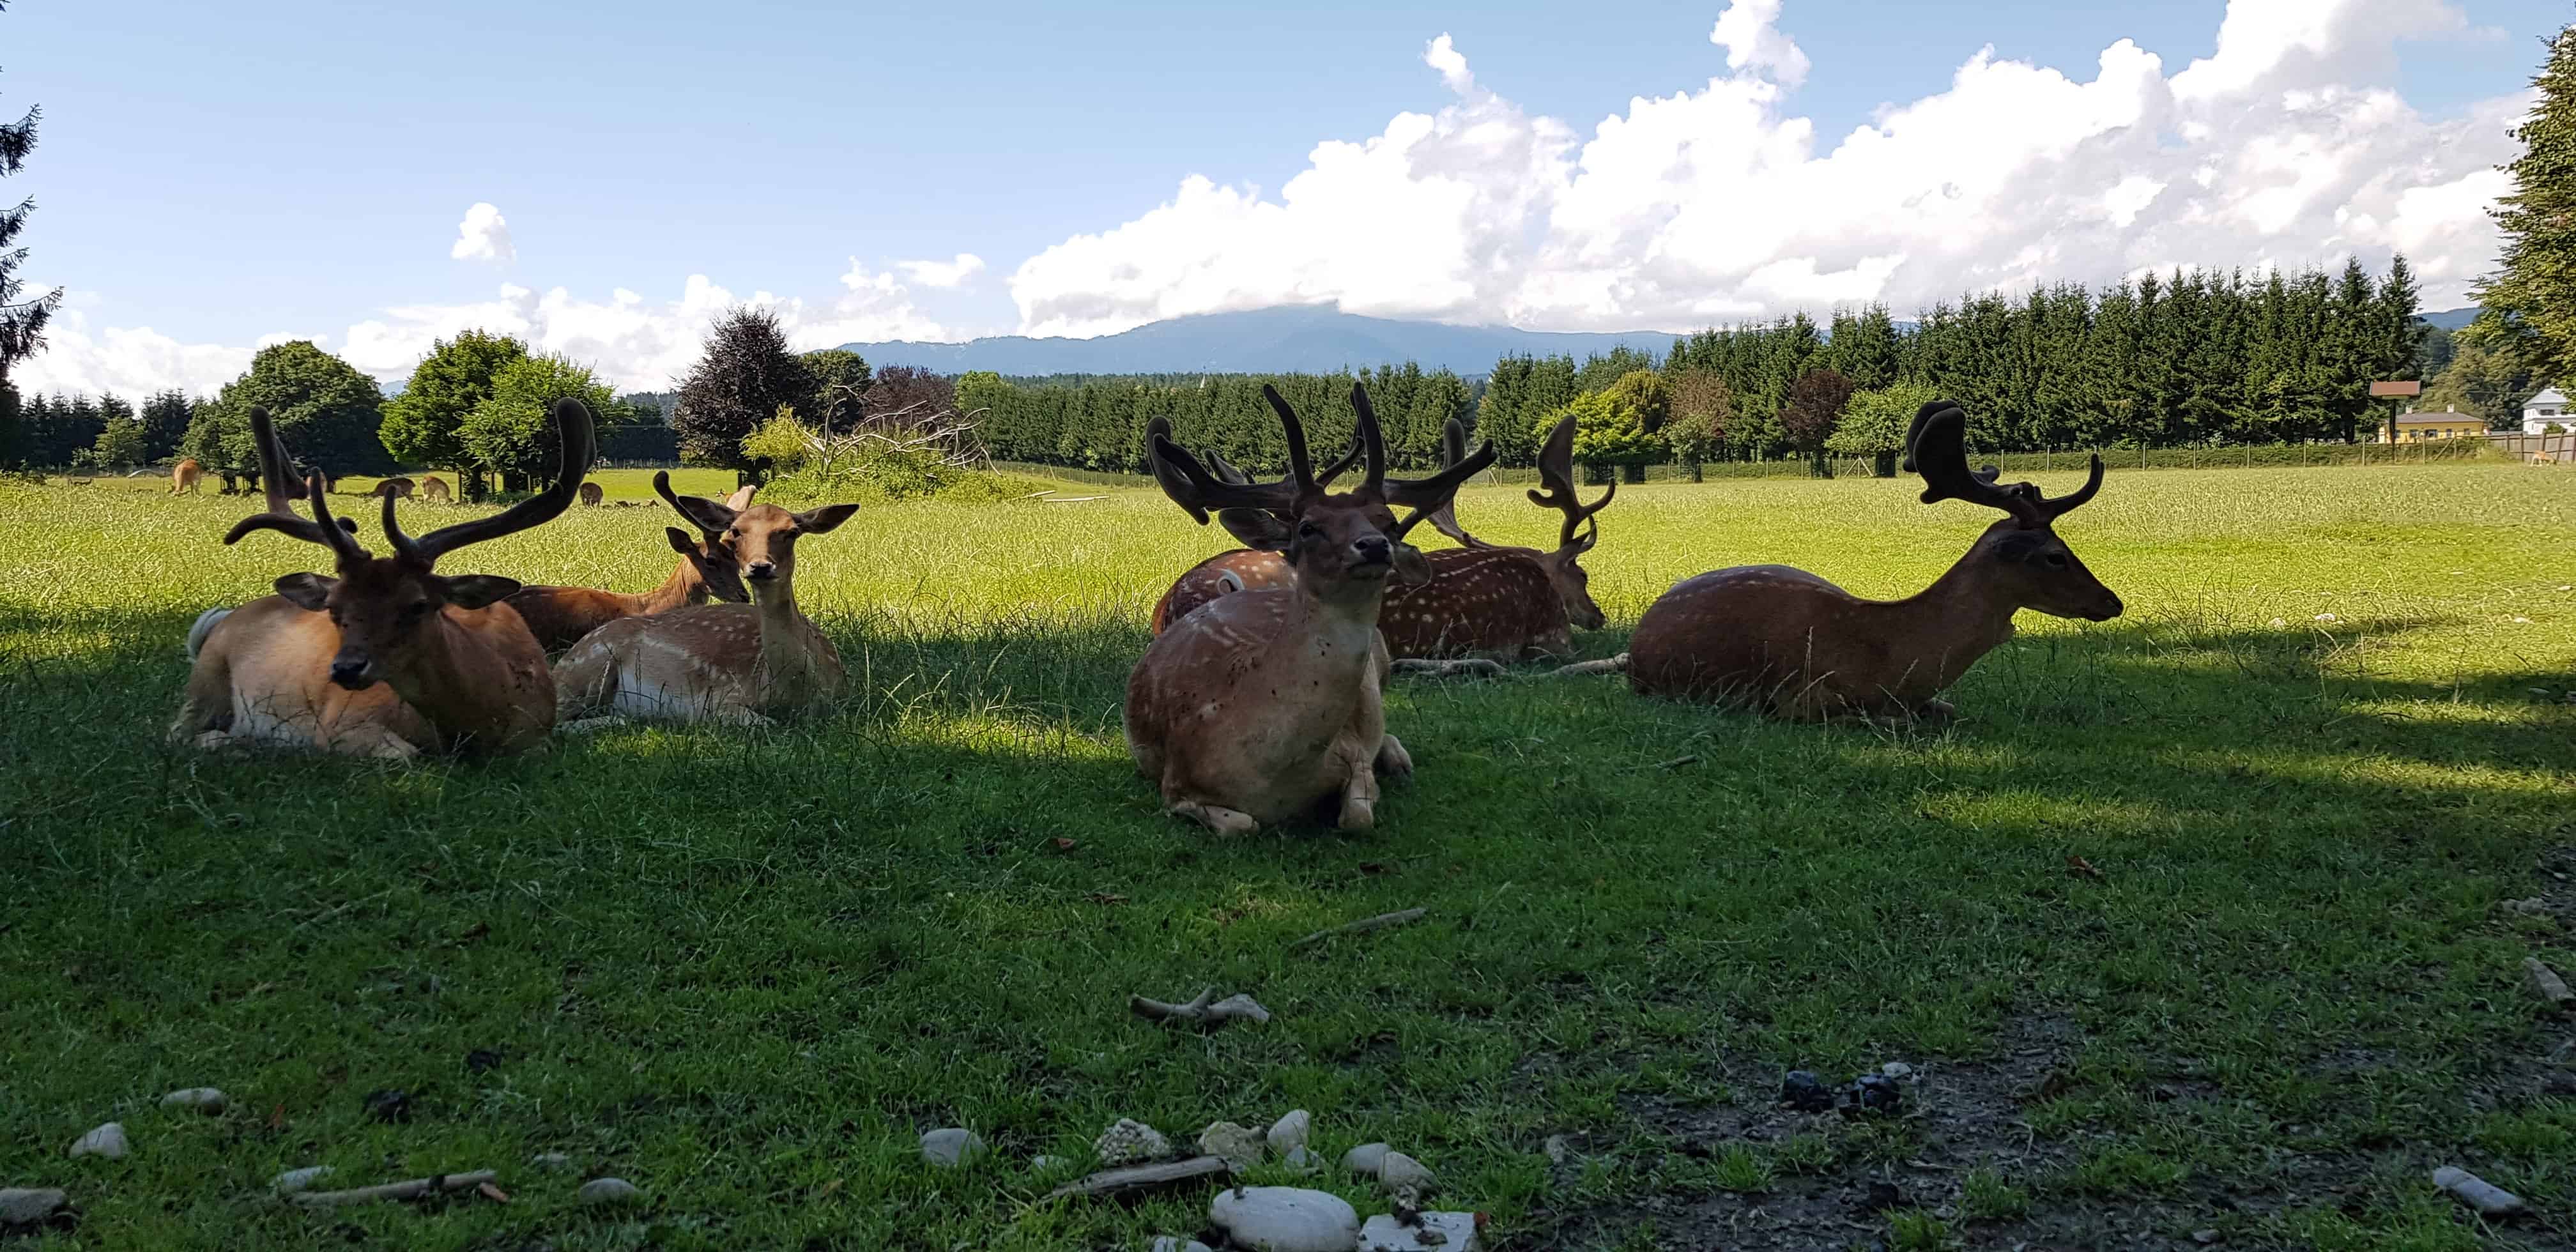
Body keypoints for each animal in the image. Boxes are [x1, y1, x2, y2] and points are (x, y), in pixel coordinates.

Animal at [171, 402, 597, 757]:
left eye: (418, 605)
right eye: (334, 609)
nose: (345, 669)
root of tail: (223, 621)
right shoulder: (341, 723)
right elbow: (404, 756)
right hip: (206, 680)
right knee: (177, 732)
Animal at [548, 484, 860, 726]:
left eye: (792, 532)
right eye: (736, 531)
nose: (760, 567)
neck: (797, 690)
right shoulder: (717, 698)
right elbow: (762, 723)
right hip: (588, 668)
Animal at [1123, 381, 1494, 829]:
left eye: (1388, 522)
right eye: (1308, 527)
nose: (1374, 545)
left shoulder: (1352, 753)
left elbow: (1357, 816)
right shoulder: (1174, 781)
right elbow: (1243, 824)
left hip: (1384, 663)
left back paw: (1399, 759)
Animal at [1628, 397, 2112, 721]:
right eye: (2055, 556)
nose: (2114, 601)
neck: (1890, 656)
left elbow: (1948, 710)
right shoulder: (1801, 698)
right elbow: (1884, 720)